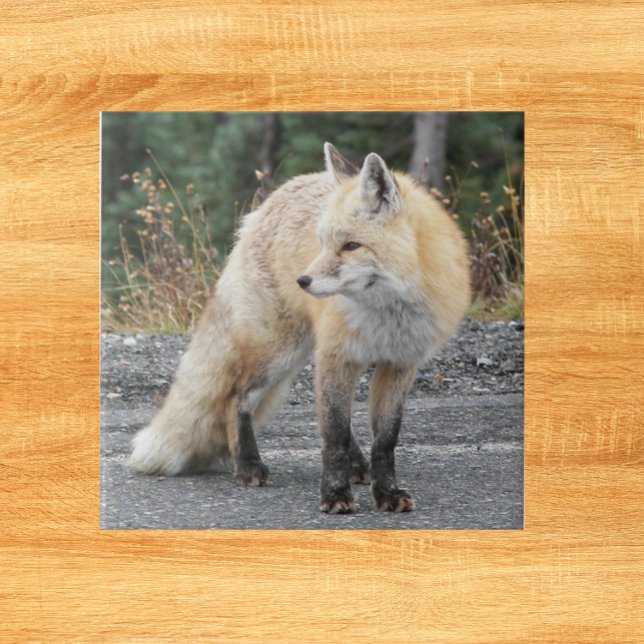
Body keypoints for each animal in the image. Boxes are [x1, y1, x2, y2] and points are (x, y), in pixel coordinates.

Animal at [128, 143, 470, 514]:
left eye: (351, 245)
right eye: (322, 242)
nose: (302, 281)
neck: (387, 314)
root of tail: (273, 197)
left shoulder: (400, 364)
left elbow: (384, 440)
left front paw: (386, 493)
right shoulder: (337, 354)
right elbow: (334, 434)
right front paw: (335, 494)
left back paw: (357, 466)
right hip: (281, 352)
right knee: (236, 398)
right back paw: (247, 464)